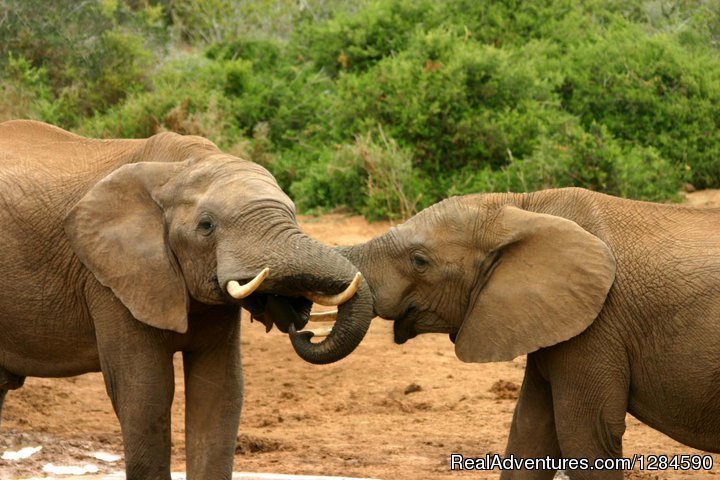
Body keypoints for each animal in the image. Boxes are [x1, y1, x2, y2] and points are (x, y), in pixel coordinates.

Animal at [0, 118, 372, 478]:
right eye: (206, 226)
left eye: (292, 215)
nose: (303, 329)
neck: (178, 169)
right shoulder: (110, 279)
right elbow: (146, 393)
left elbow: (219, 390)